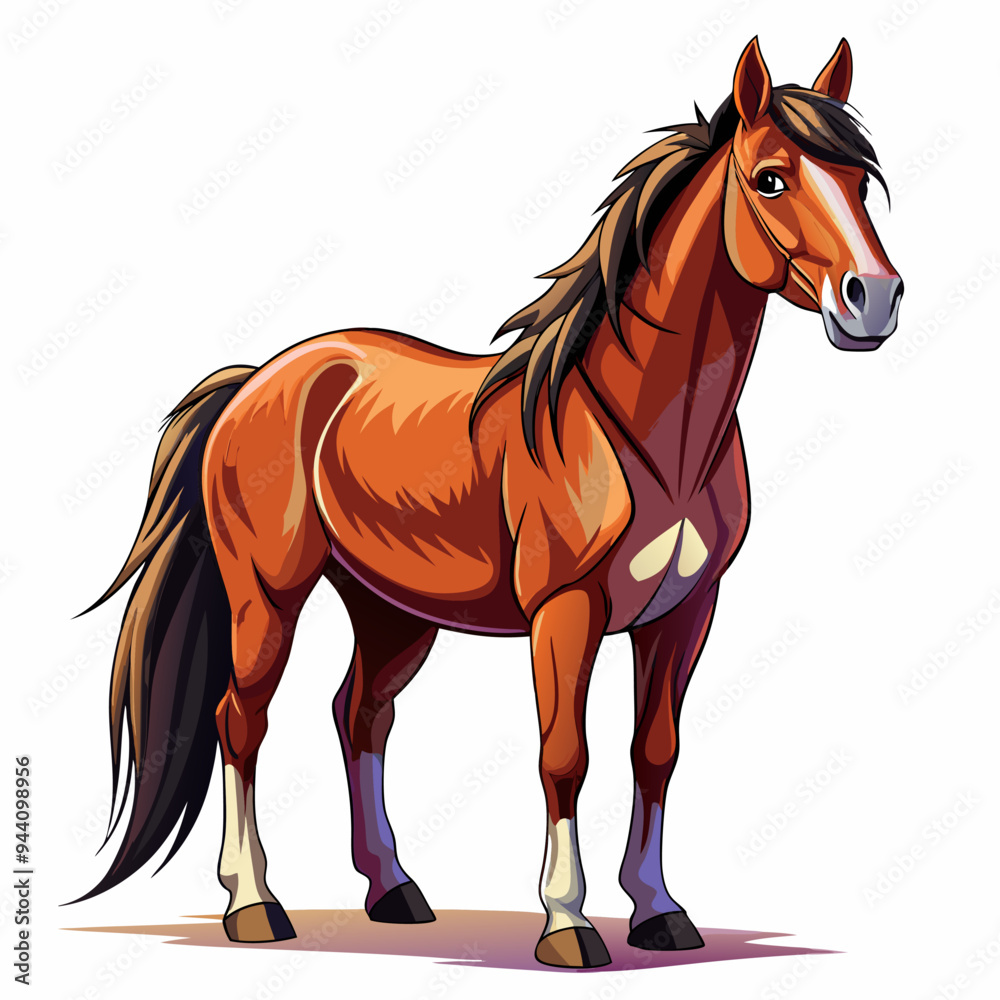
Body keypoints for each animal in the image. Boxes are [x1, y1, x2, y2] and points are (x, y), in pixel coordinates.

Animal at [75, 37, 902, 968]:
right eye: (770, 178)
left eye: (861, 181)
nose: (874, 298)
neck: (646, 430)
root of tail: (260, 379)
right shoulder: (564, 611)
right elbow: (565, 756)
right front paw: (568, 923)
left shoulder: (685, 613)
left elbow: (654, 751)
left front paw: (658, 910)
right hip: (268, 594)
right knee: (240, 720)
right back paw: (254, 903)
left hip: (391, 609)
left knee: (359, 714)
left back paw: (394, 889)